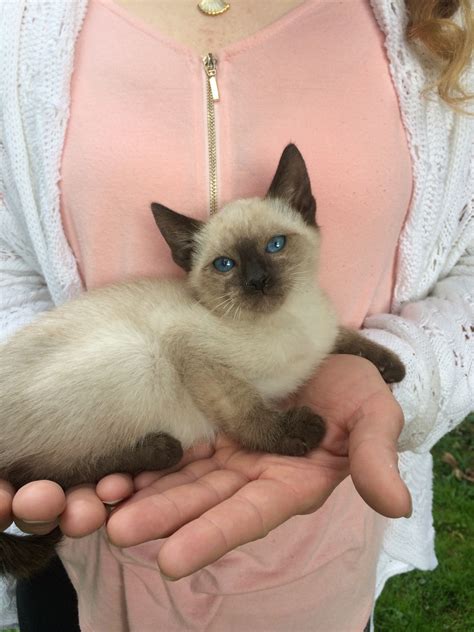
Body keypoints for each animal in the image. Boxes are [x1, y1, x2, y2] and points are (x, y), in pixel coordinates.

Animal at [0, 144, 404, 576]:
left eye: (275, 245)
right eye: (225, 264)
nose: (257, 282)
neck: (293, 321)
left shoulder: (324, 333)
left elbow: (347, 338)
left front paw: (390, 366)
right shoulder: (191, 349)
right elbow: (247, 411)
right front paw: (296, 433)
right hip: (138, 355)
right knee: (29, 472)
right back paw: (157, 450)